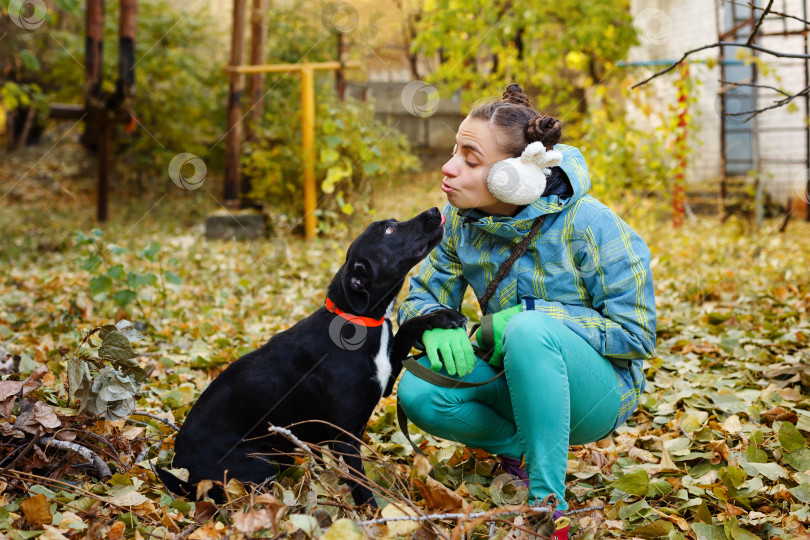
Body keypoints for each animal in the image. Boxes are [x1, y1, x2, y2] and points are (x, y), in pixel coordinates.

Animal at [155, 208, 464, 506]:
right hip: (257, 465)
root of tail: (178, 467)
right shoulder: (345, 439)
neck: (359, 321)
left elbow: (407, 329)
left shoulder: (385, 376)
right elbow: (362, 487)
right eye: (389, 230)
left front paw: (442, 318)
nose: (434, 210)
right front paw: (378, 516)